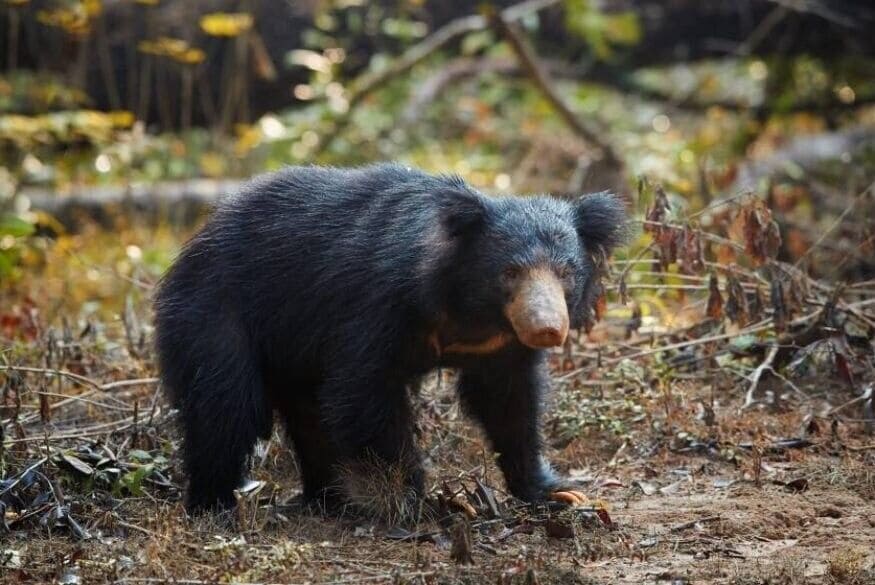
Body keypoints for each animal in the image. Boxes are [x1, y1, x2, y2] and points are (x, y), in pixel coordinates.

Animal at [154, 163, 627, 514]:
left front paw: (558, 492)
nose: (546, 329)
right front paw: (423, 501)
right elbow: (364, 393)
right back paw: (214, 505)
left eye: (566, 273)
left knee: (308, 415)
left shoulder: (499, 347)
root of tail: (192, 245)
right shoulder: (377, 306)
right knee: (226, 405)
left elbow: (510, 404)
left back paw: (330, 499)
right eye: (510, 272)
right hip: (214, 316)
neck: (471, 314)